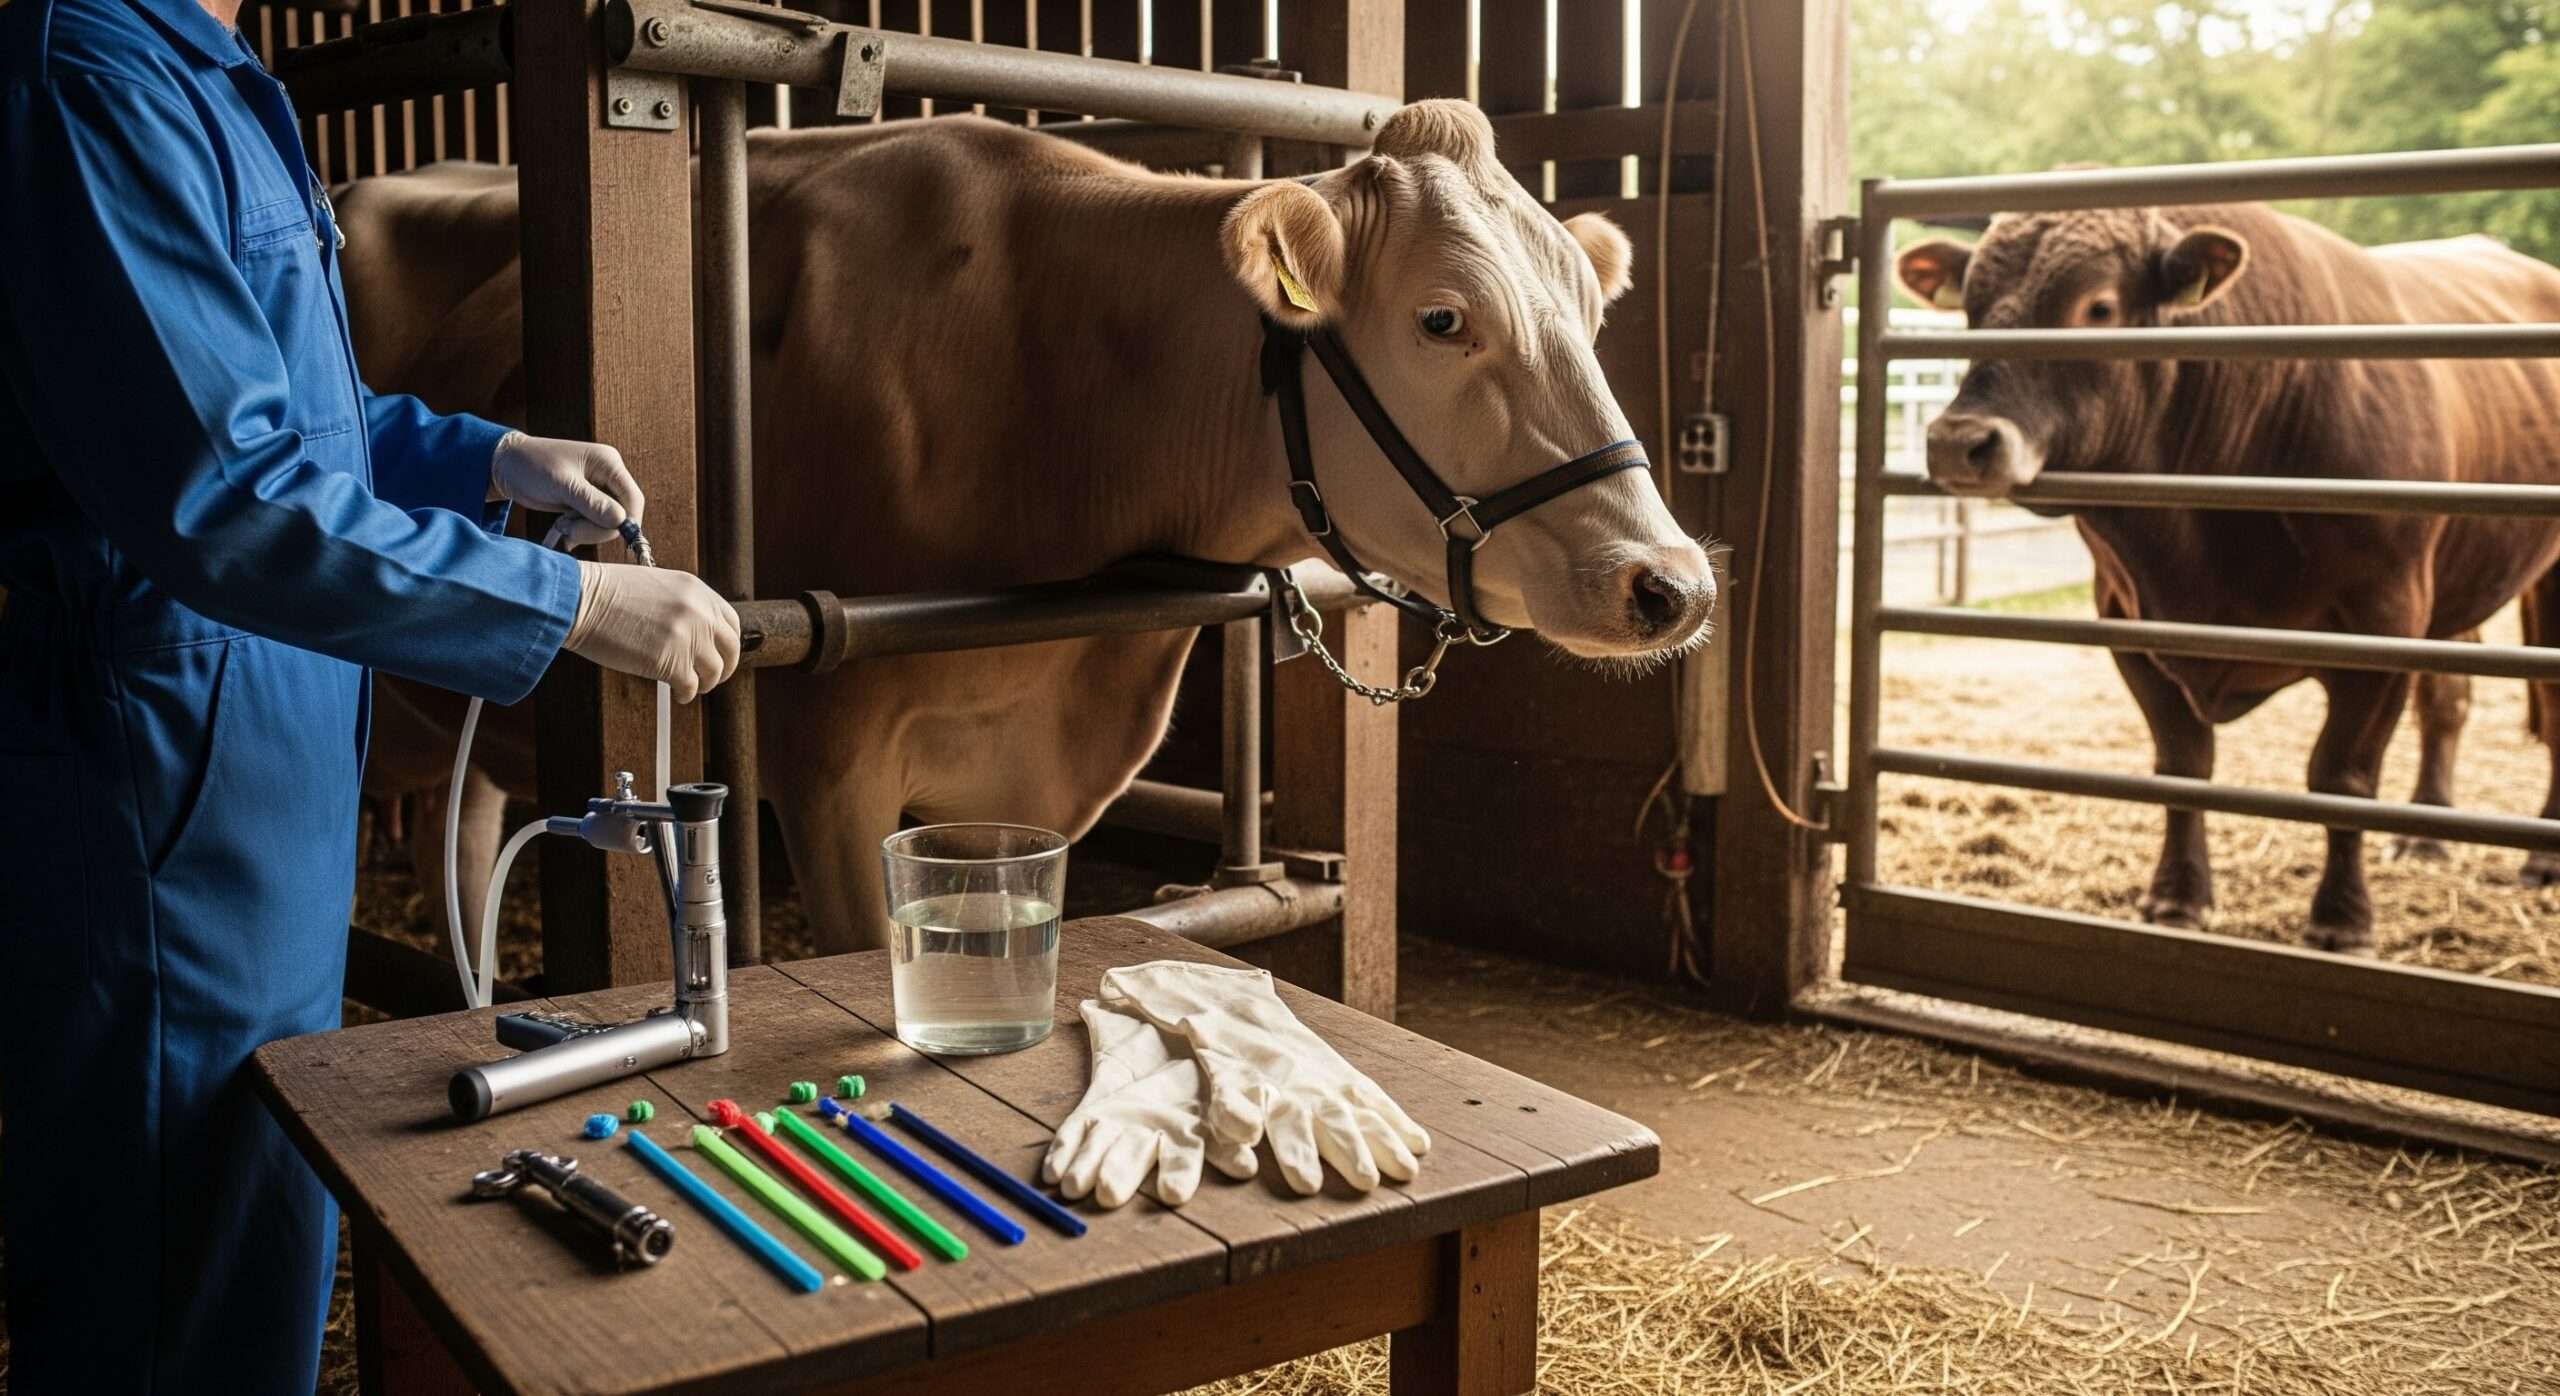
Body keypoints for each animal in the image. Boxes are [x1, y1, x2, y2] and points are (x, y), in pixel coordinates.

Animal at [1897, 203, 2560, 954]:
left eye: (2098, 307)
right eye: (1972, 308)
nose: (1960, 442)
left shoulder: (2384, 625)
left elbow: (2342, 775)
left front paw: (2342, 919)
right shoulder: (2130, 622)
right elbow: (2183, 767)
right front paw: (2176, 897)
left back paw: (2541, 858)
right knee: (2448, 698)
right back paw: (2426, 831)